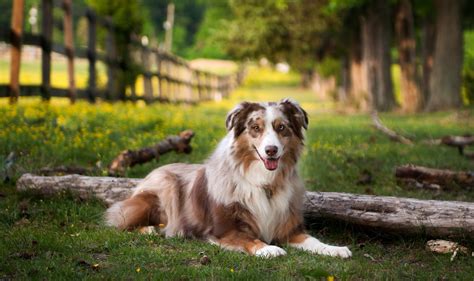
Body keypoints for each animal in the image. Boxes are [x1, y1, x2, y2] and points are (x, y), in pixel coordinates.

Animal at [106, 99, 352, 258]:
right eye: (255, 128)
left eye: (281, 127)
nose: (271, 150)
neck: (264, 182)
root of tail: (154, 171)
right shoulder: (223, 230)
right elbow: (249, 239)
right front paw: (268, 249)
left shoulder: (288, 229)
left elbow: (314, 240)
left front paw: (335, 249)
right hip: (162, 190)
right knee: (119, 221)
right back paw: (149, 229)